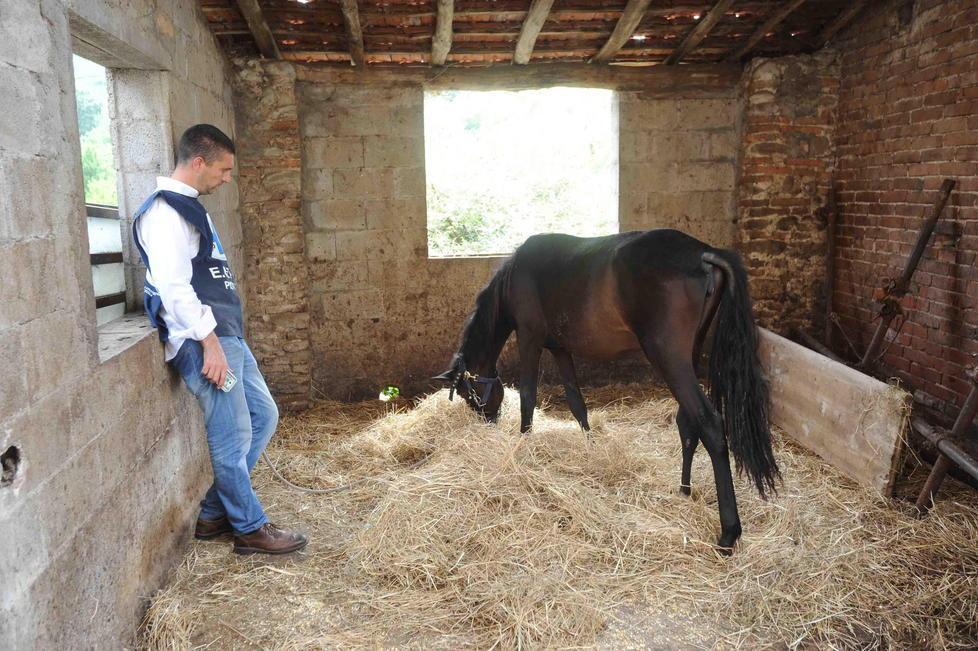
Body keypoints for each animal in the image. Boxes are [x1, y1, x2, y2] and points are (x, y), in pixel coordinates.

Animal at [434, 228, 779, 553]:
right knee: (688, 423)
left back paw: (729, 532)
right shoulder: (560, 349)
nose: (487, 421)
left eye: (466, 394)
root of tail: (703, 254)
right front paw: (590, 446)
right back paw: (684, 490)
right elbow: (576, 402)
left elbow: (528, 398)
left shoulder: (529, 340)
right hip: (688, 357)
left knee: (710, 425)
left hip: (669, 357)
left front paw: (523, 447)